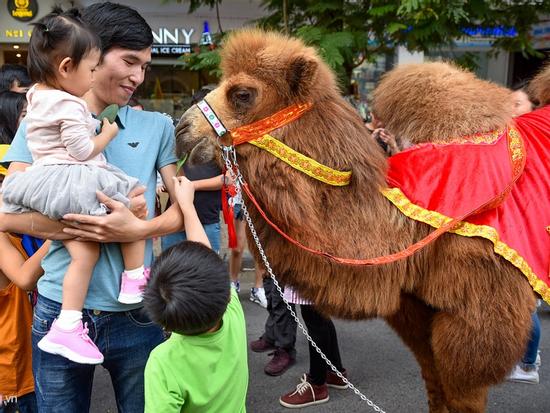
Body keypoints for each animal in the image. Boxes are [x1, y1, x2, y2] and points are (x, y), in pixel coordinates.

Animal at [177, 28, 548, 408]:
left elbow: (463, 394)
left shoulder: (479, 323)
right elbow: (434, 387)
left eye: (242, 94)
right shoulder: (414, 308)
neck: (408, 228)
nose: (181, 129)